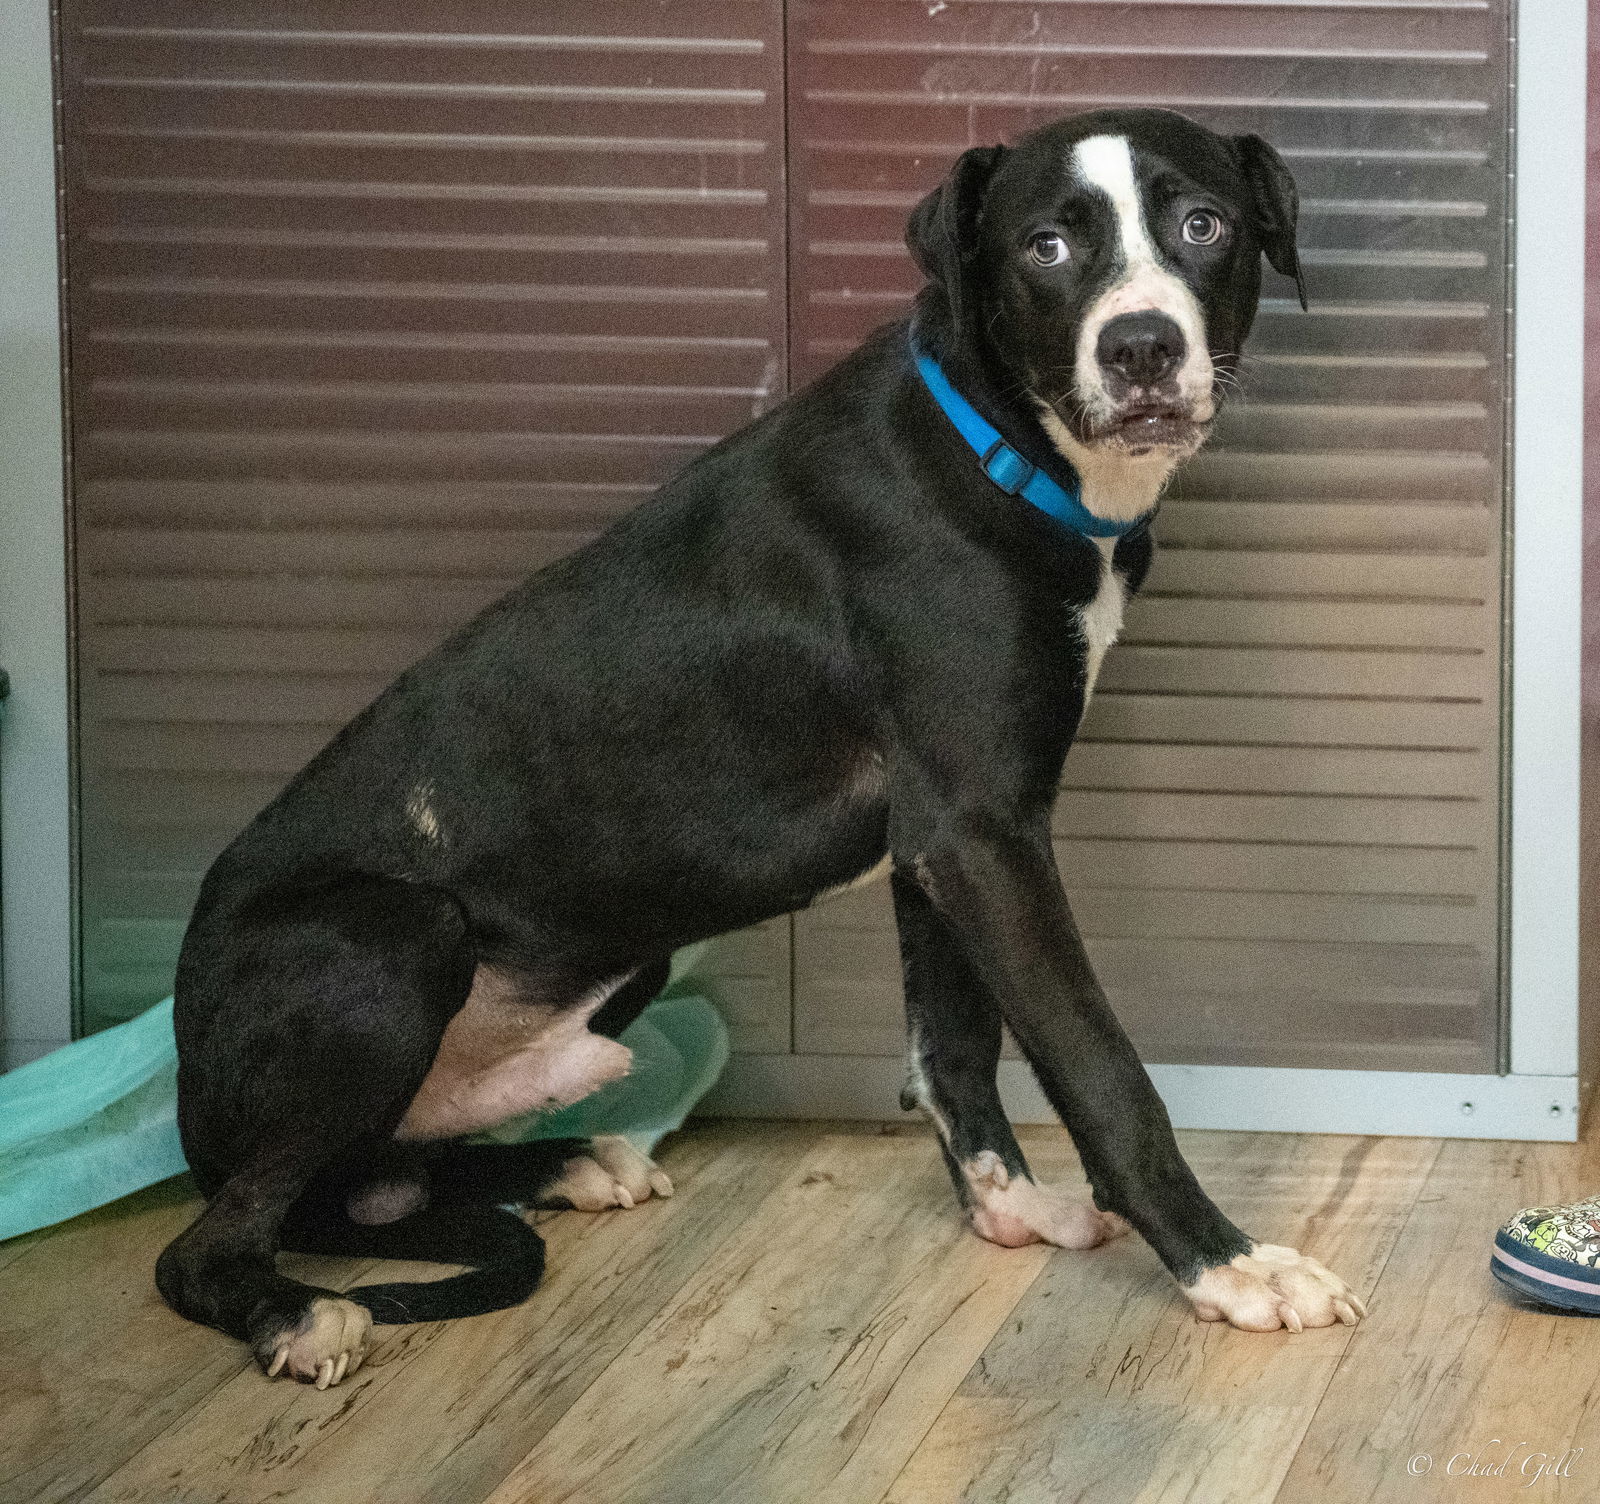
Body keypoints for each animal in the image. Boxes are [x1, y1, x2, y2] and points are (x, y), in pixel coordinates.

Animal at [159, 112, 1363, 1395]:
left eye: (1203, 223)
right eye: (1045, 245)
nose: (1140, 346)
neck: (992, 447)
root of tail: (182, 1069)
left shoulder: (941, 842)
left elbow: (953, 1045)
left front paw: (1007, 1208)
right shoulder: (980, 836)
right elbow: (1100, 1067)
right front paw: (1228, 1264)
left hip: (612, 956)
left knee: (371, 1186)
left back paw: (567, 1162)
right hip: (401, 935)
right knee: (217, 1237)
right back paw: (294, 1314)